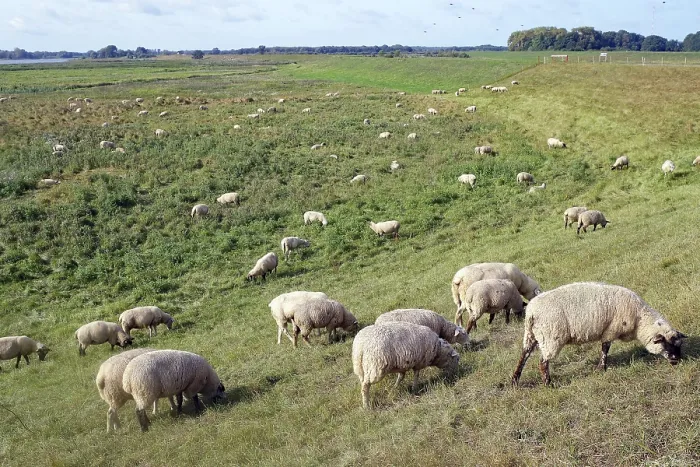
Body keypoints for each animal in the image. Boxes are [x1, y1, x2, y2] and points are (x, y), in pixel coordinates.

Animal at [511, 282, 686, 387]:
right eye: (666, 343)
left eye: (678, 344)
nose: (677, 360)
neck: (640, 319)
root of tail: (531, 312)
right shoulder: (611, 330)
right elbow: (605, 348)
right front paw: (601, 368)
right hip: (551, 337)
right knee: (542, 362)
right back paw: (548, 383)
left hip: (531, 335)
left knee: (524, 355)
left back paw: (515, 380)